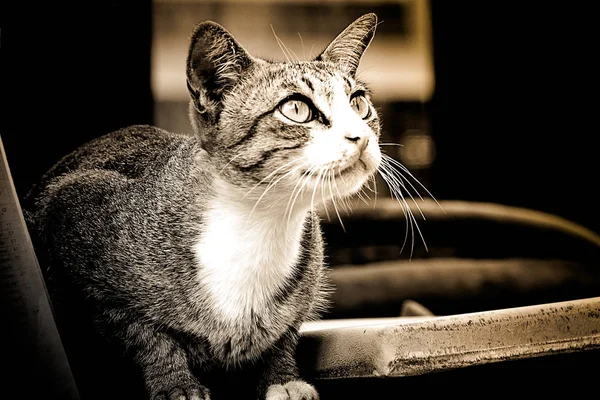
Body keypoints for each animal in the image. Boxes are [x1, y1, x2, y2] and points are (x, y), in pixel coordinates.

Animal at [25, 12, 382, 400]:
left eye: (359, 104)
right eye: (296, 109)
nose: (361, 138)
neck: (258, 220)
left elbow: (284, 332)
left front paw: (281, 378)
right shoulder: (72, 213)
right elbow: (144, 334)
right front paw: (176, 383)